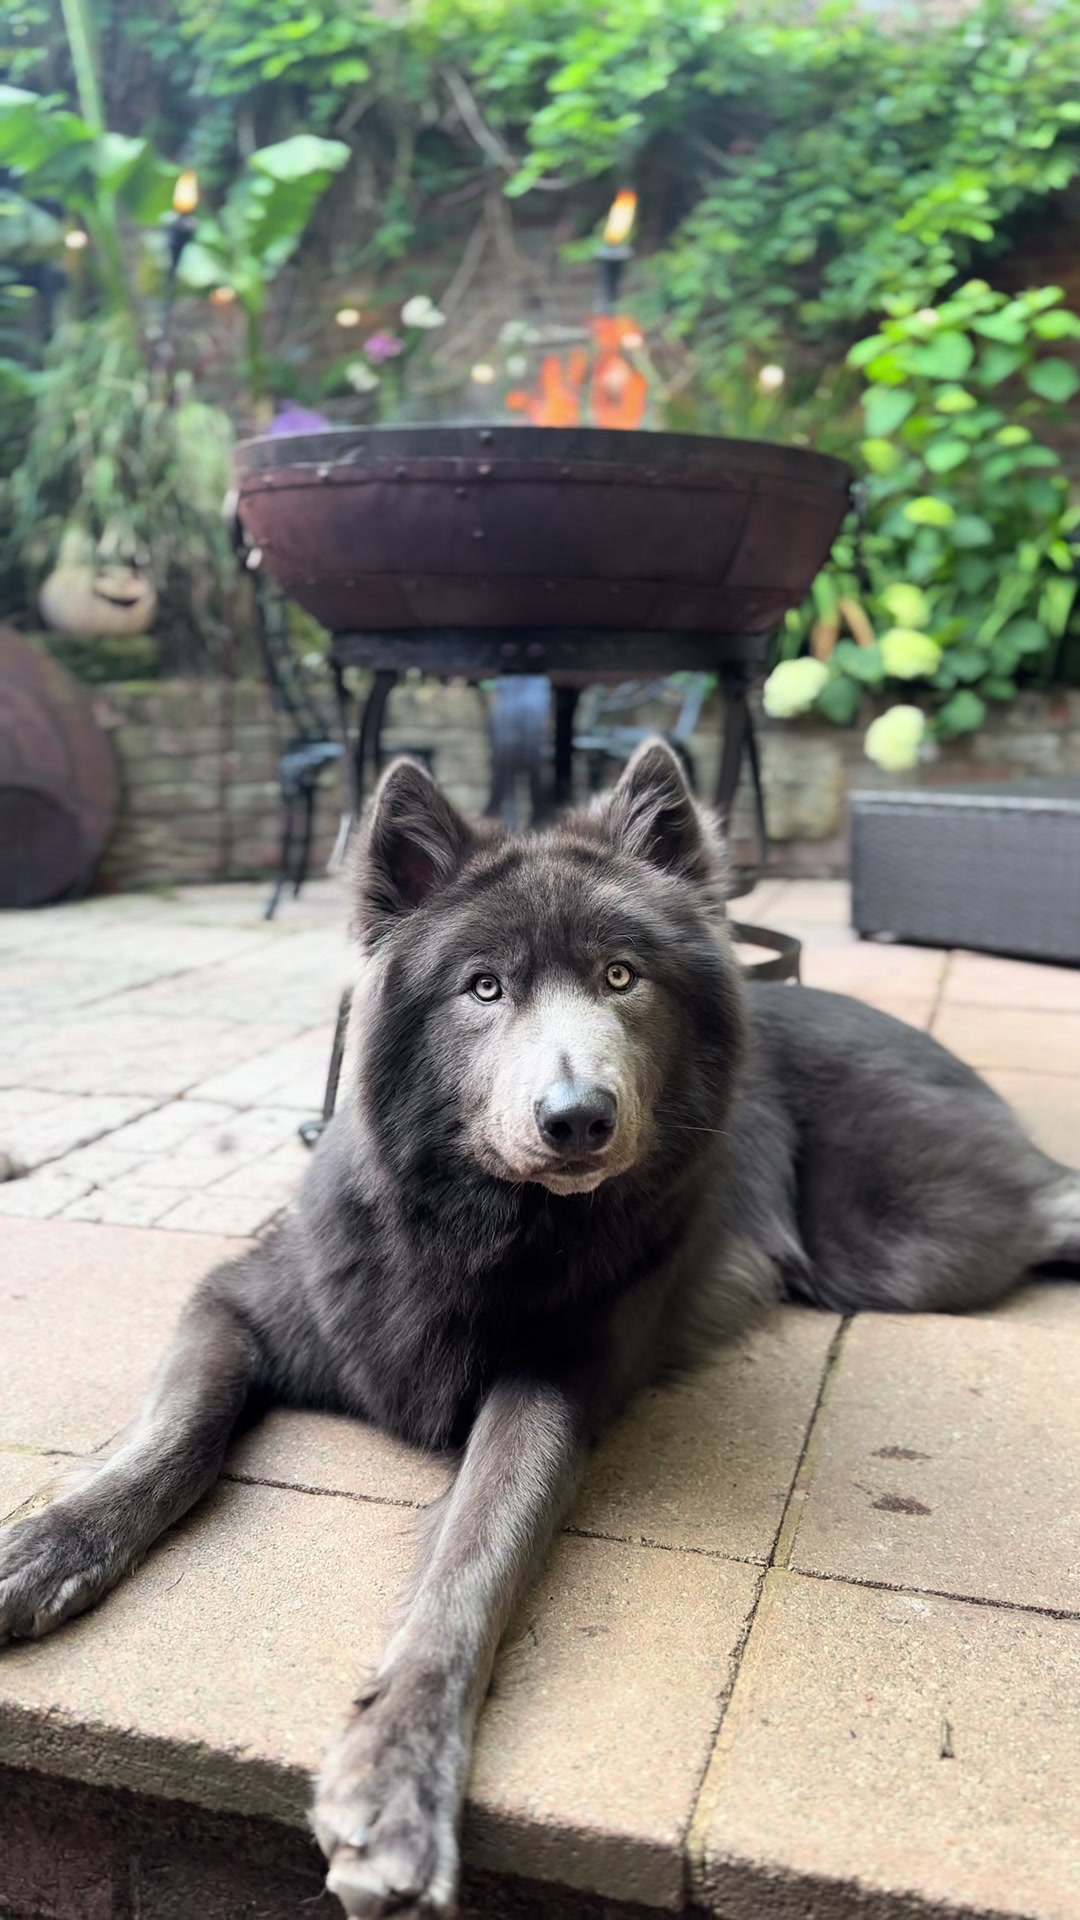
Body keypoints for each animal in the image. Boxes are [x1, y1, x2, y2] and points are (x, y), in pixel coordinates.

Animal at [1, 741, 1077, 1918]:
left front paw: (400, 1777)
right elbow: (175, 1436)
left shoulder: (548, 1391)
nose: (577, 1120)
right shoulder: (237, 1301)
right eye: (484, 988)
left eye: (621, 977)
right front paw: (47, 1545)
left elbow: (476, 1559)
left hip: (909, 1246)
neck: (478, 1228)